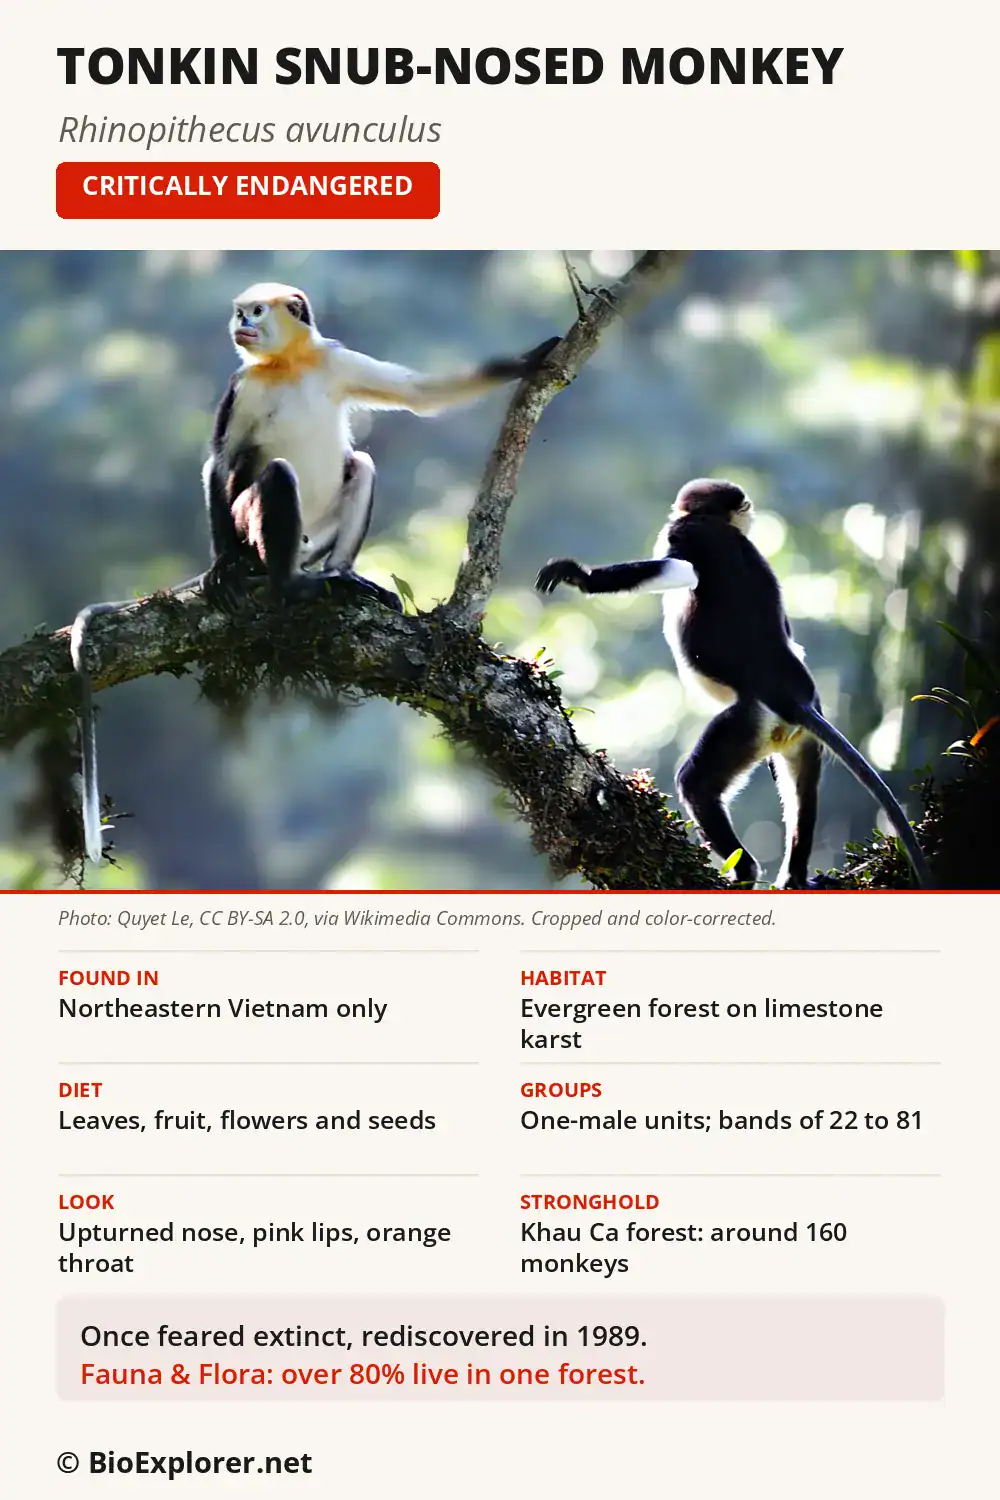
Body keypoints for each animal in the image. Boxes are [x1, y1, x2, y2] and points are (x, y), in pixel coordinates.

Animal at [535, 478, 932, 890]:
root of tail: (794, 697)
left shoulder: (689, 533)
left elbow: (679, 567)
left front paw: (581, 577)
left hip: (747, 720)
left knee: (696, 784)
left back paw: (746, 871)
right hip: (793, 735)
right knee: (802, 789)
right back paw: (794, 876)